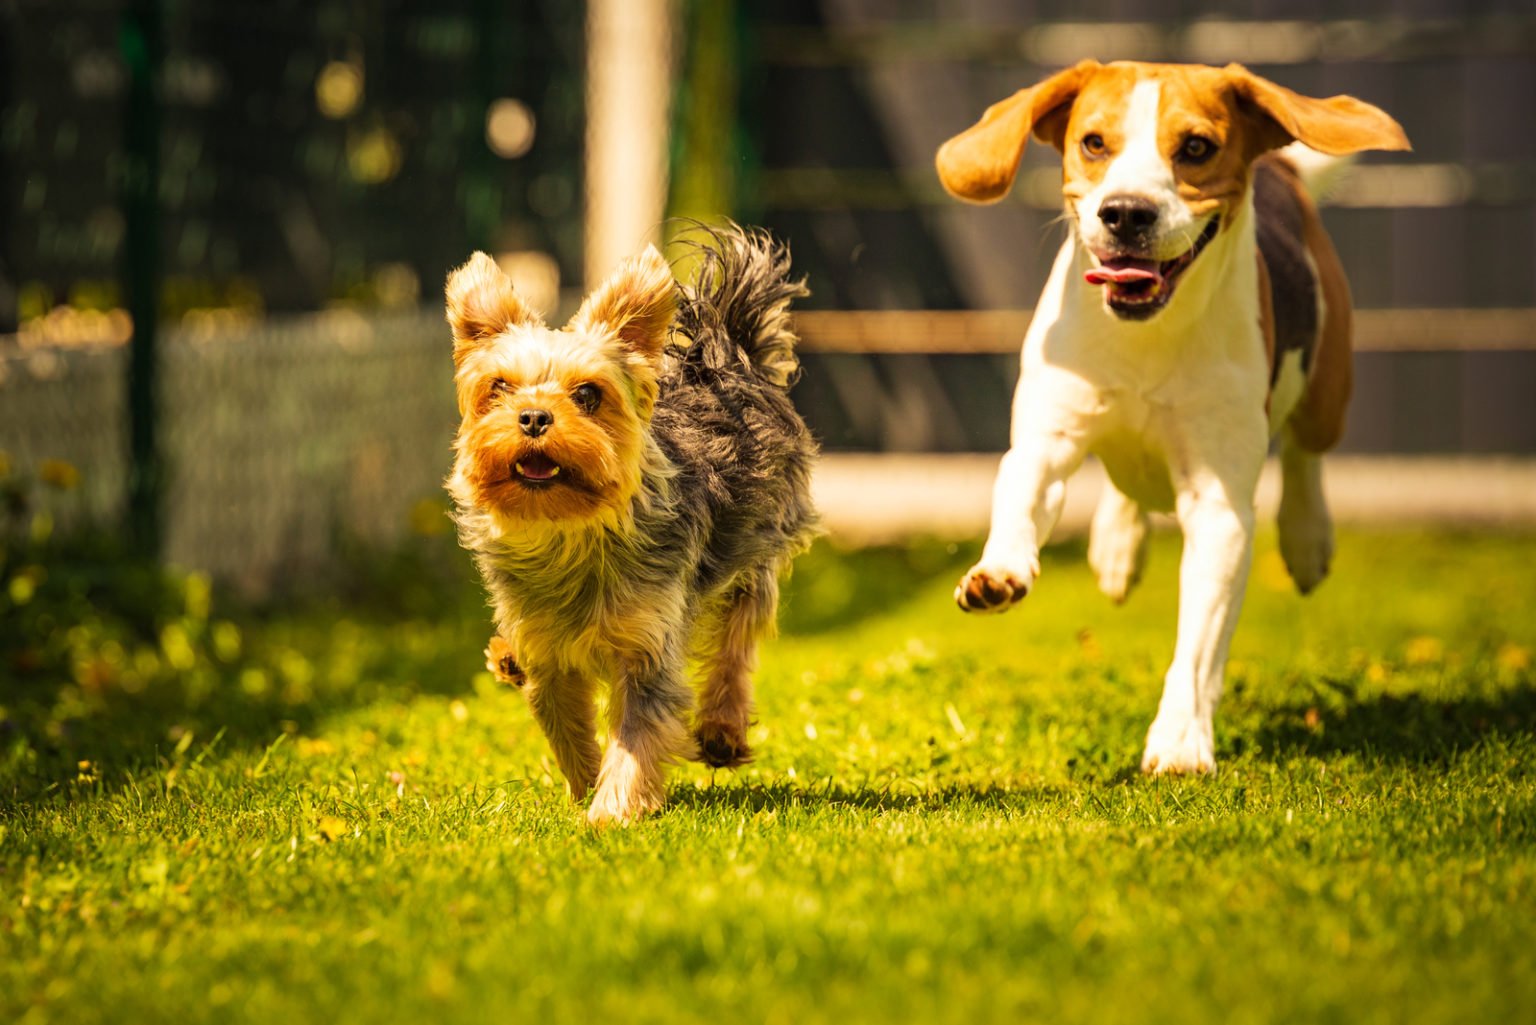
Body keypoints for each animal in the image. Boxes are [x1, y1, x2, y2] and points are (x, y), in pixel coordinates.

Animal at [933, 60, 1406, 774]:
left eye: (1196, 148)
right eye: (1093, 142)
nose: (1126, 213)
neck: (1145, 336)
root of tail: (1280, 171)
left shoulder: (1218, 506)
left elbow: (1197, 646)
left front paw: (1181, 739)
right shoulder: (1046, 442)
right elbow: (1019, 498)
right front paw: (999, 572)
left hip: (1327, 386)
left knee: (1305, 454)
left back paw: (1306, 538)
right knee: (1129, 482)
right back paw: (1117, 544)